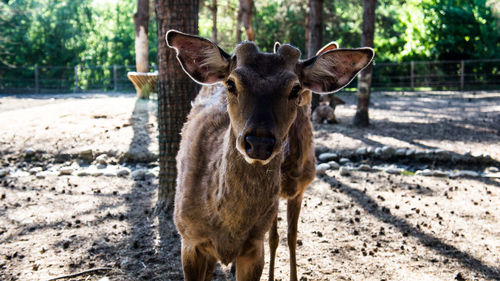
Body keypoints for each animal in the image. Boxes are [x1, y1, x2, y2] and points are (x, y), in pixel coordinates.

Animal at [166, 29, 374, 278]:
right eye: (231, 83)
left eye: (295, 88)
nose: (259, 142)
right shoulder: (189, 239)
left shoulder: (256, 245)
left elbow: (285, 238)